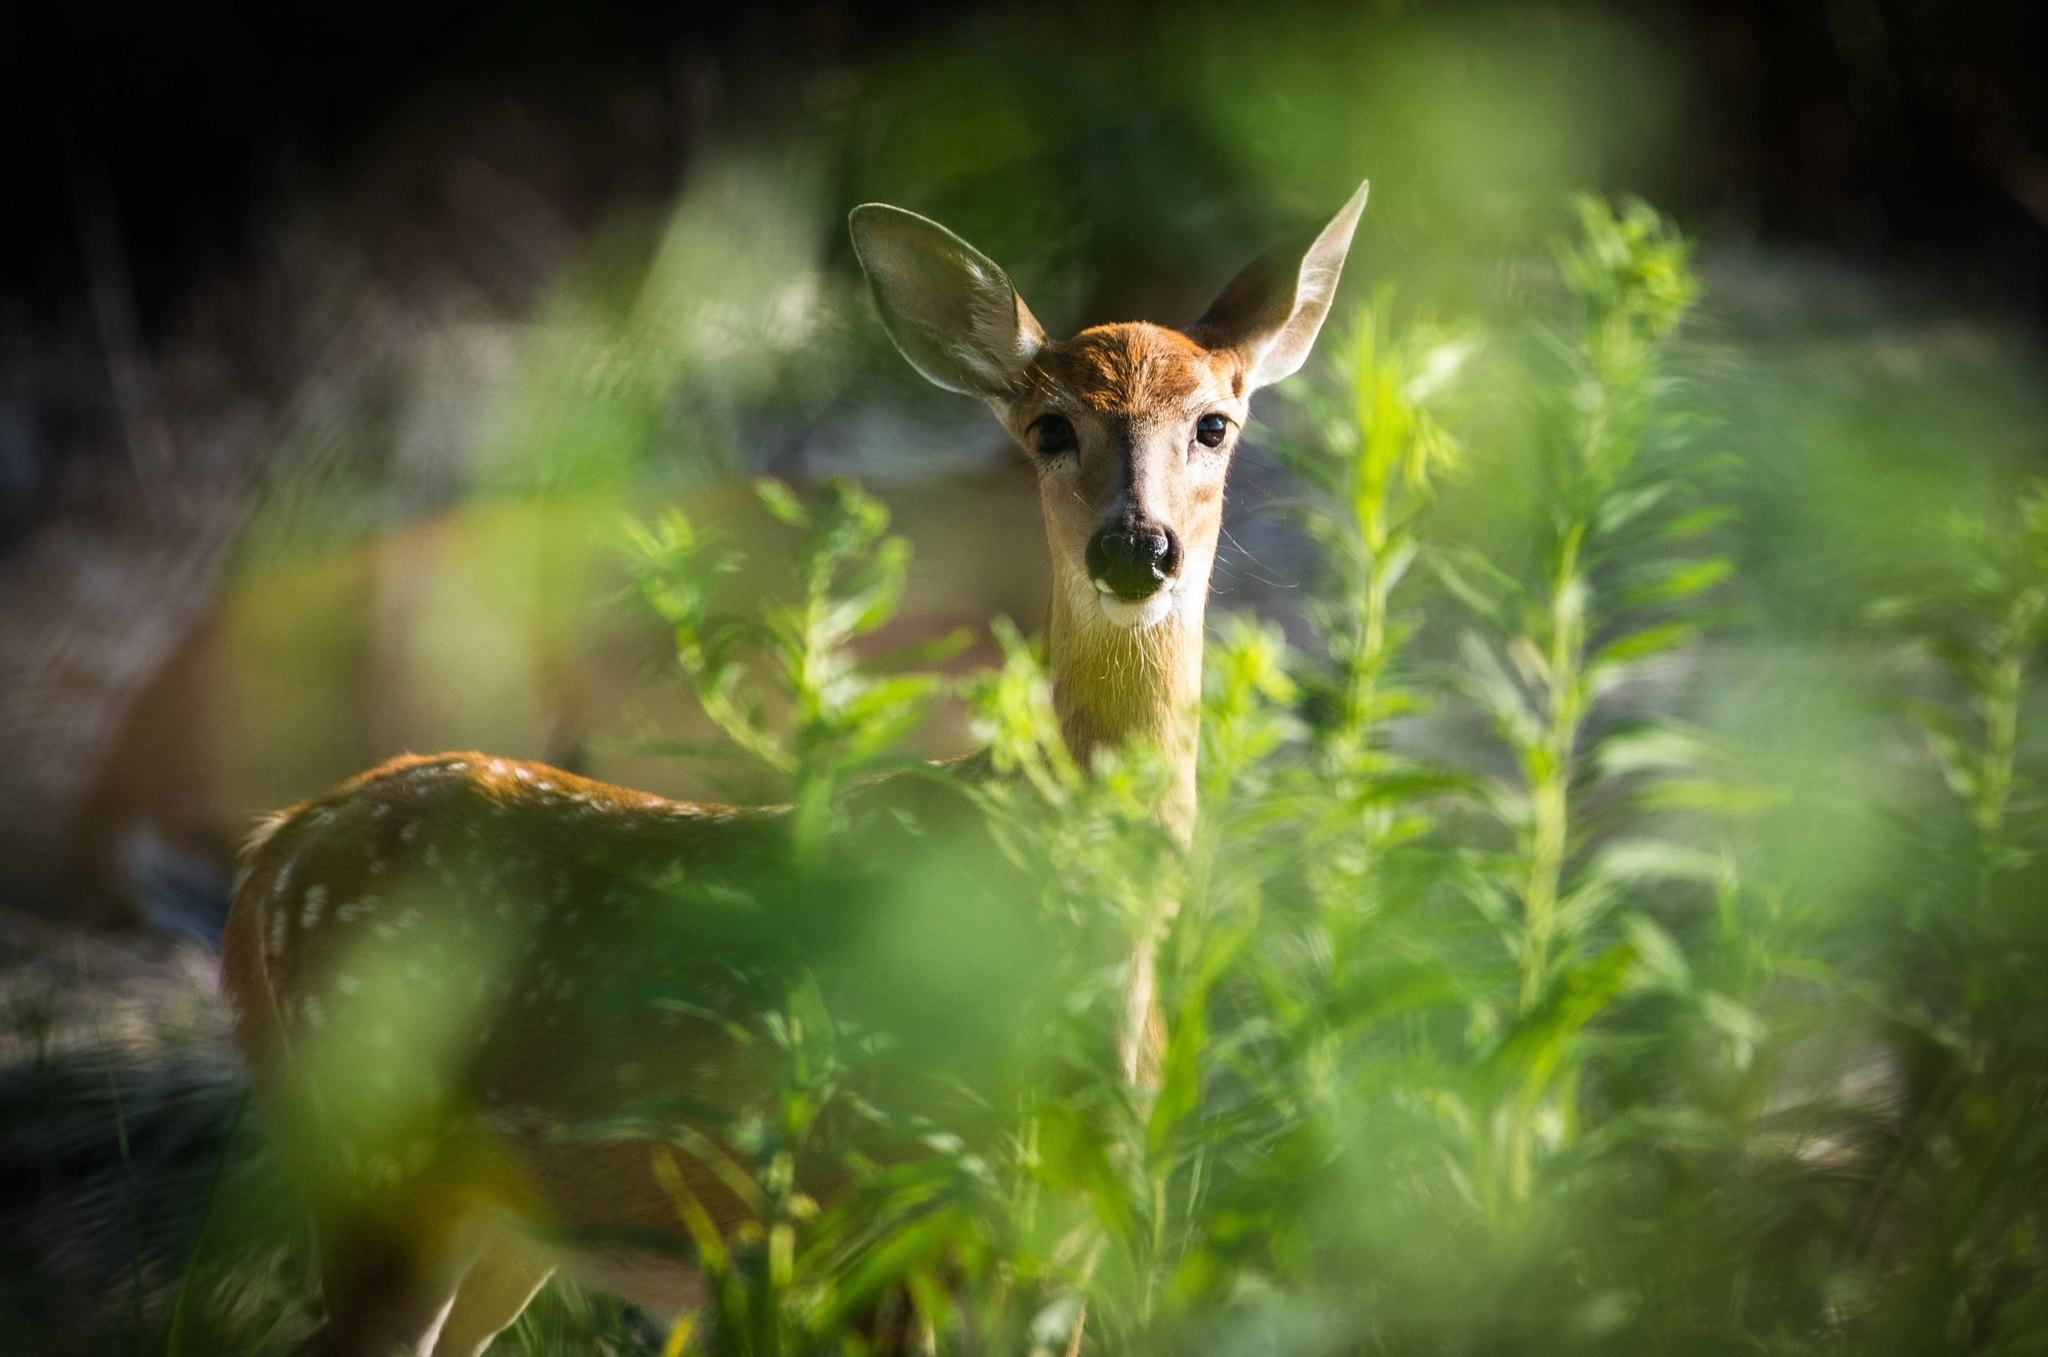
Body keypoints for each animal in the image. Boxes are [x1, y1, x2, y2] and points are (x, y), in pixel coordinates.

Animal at [224, 180, 1368, 1357]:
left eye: (1214, 423)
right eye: (1050, 427)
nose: (1135, 547)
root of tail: (270, 853)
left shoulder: (1059, 1245)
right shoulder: (882, 1209)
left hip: (498, 1226)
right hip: (377, 1150)